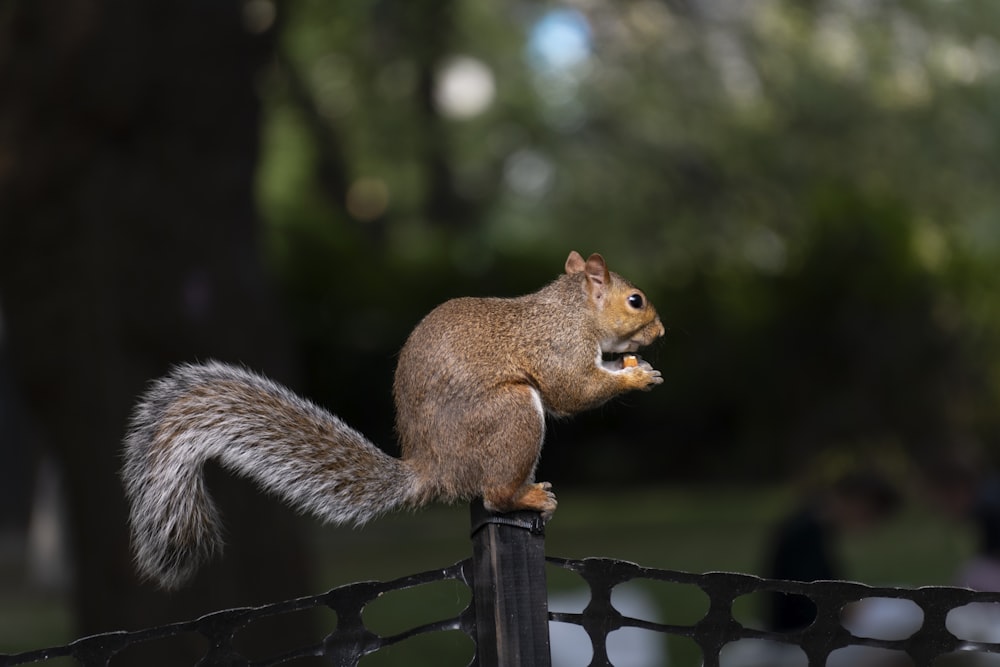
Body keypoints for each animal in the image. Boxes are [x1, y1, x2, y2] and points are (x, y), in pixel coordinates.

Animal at [121, 252, 664, 588]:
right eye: (635, 300)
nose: (661, 331)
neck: (573, 312)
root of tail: (434, 471)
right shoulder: (557, 350)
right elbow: (573, 390)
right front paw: (636, 377)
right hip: (511, 415)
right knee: (495, 493)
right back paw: (528, 496)